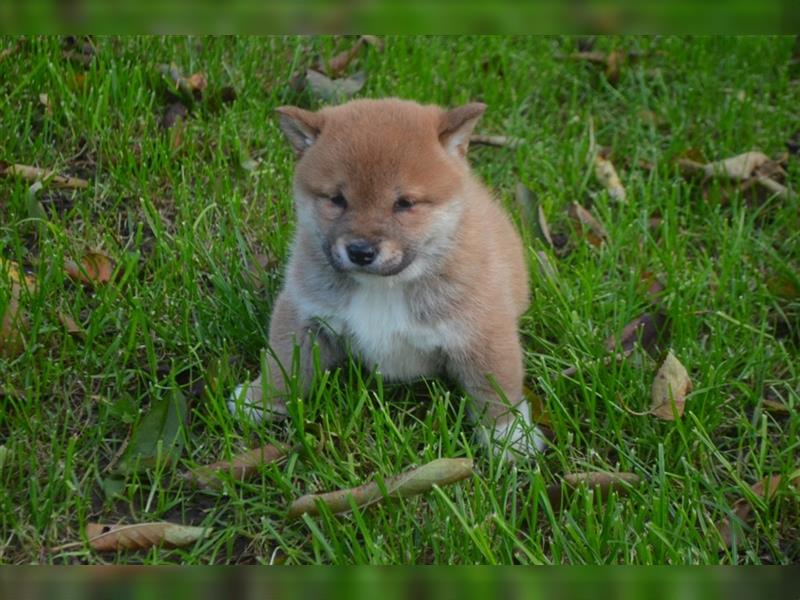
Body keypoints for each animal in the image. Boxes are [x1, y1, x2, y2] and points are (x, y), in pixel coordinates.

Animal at [228, 98, 548, 458]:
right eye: (337, 199)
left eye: (404, 203)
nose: (360, 251)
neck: (383, 287)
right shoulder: (303, 314)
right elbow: (283, 362)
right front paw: (262, 399)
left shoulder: (481, 331)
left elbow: (495, 386)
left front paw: (508, 435)